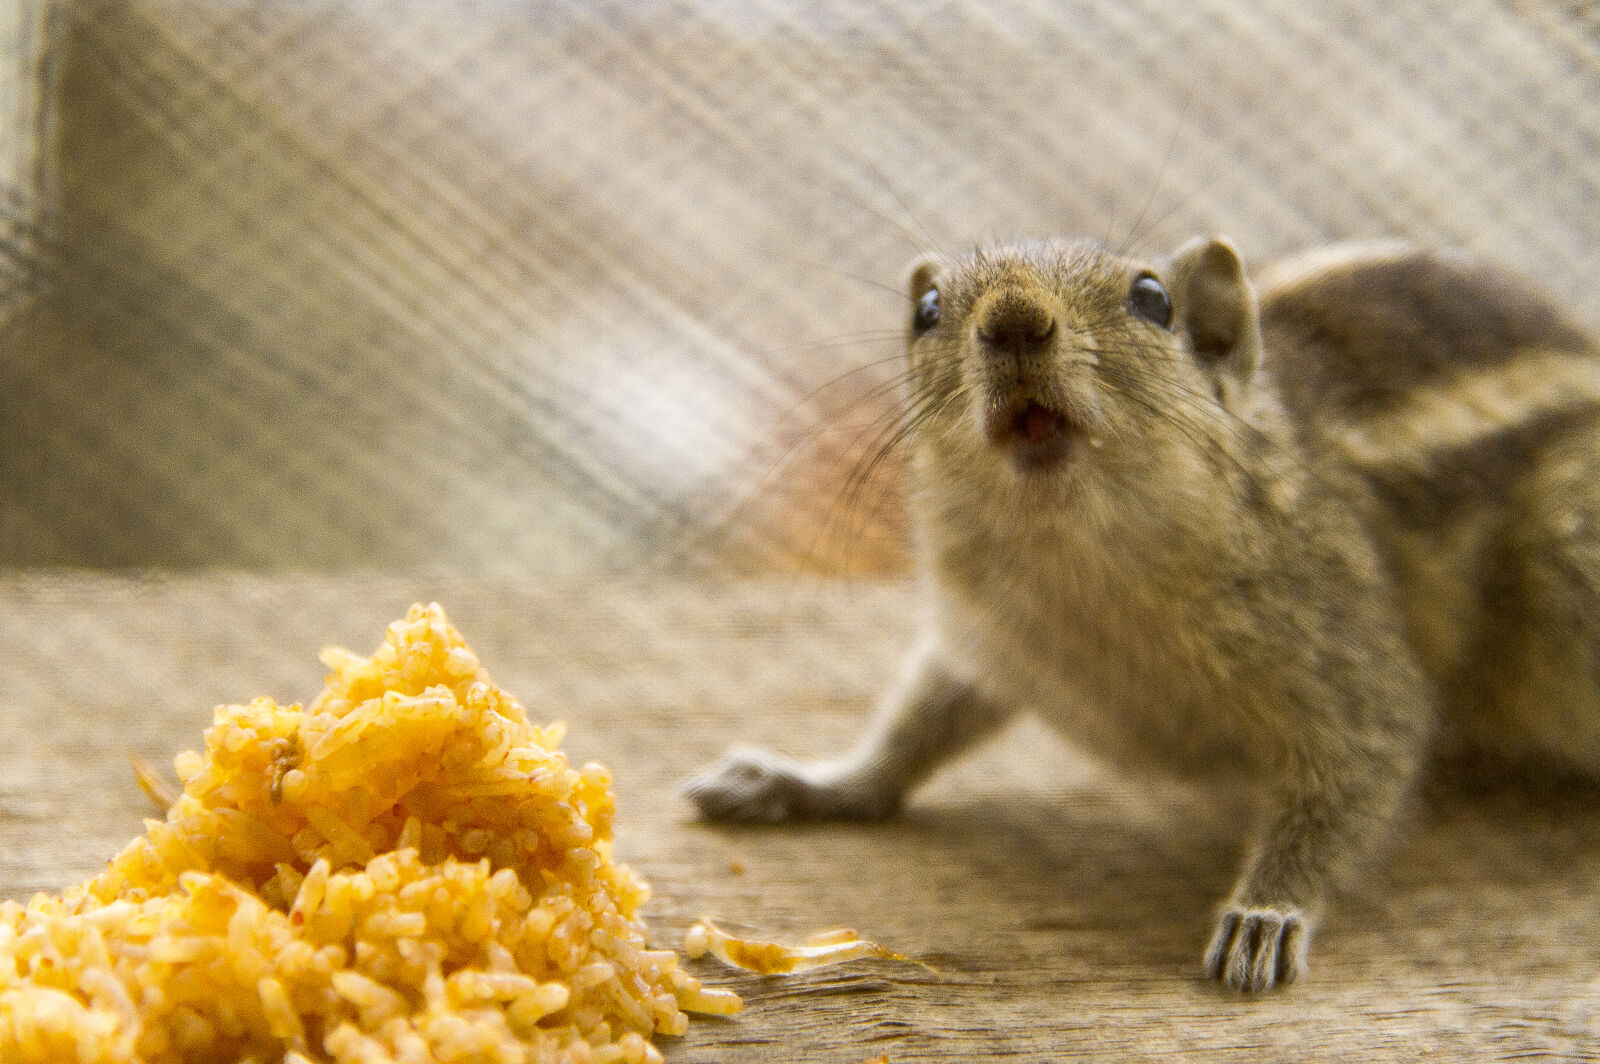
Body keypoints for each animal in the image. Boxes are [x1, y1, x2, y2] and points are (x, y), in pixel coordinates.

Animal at [683, 235, 1600, 993]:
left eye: (1154, 299)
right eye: (928, 310)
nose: (1014, 320)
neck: (1078, 560)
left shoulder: (1337, 644)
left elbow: (1358, 762)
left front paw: (1267, 914)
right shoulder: (986, 640)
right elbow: (912, 730)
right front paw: (808, 781)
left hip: (1566, 566)